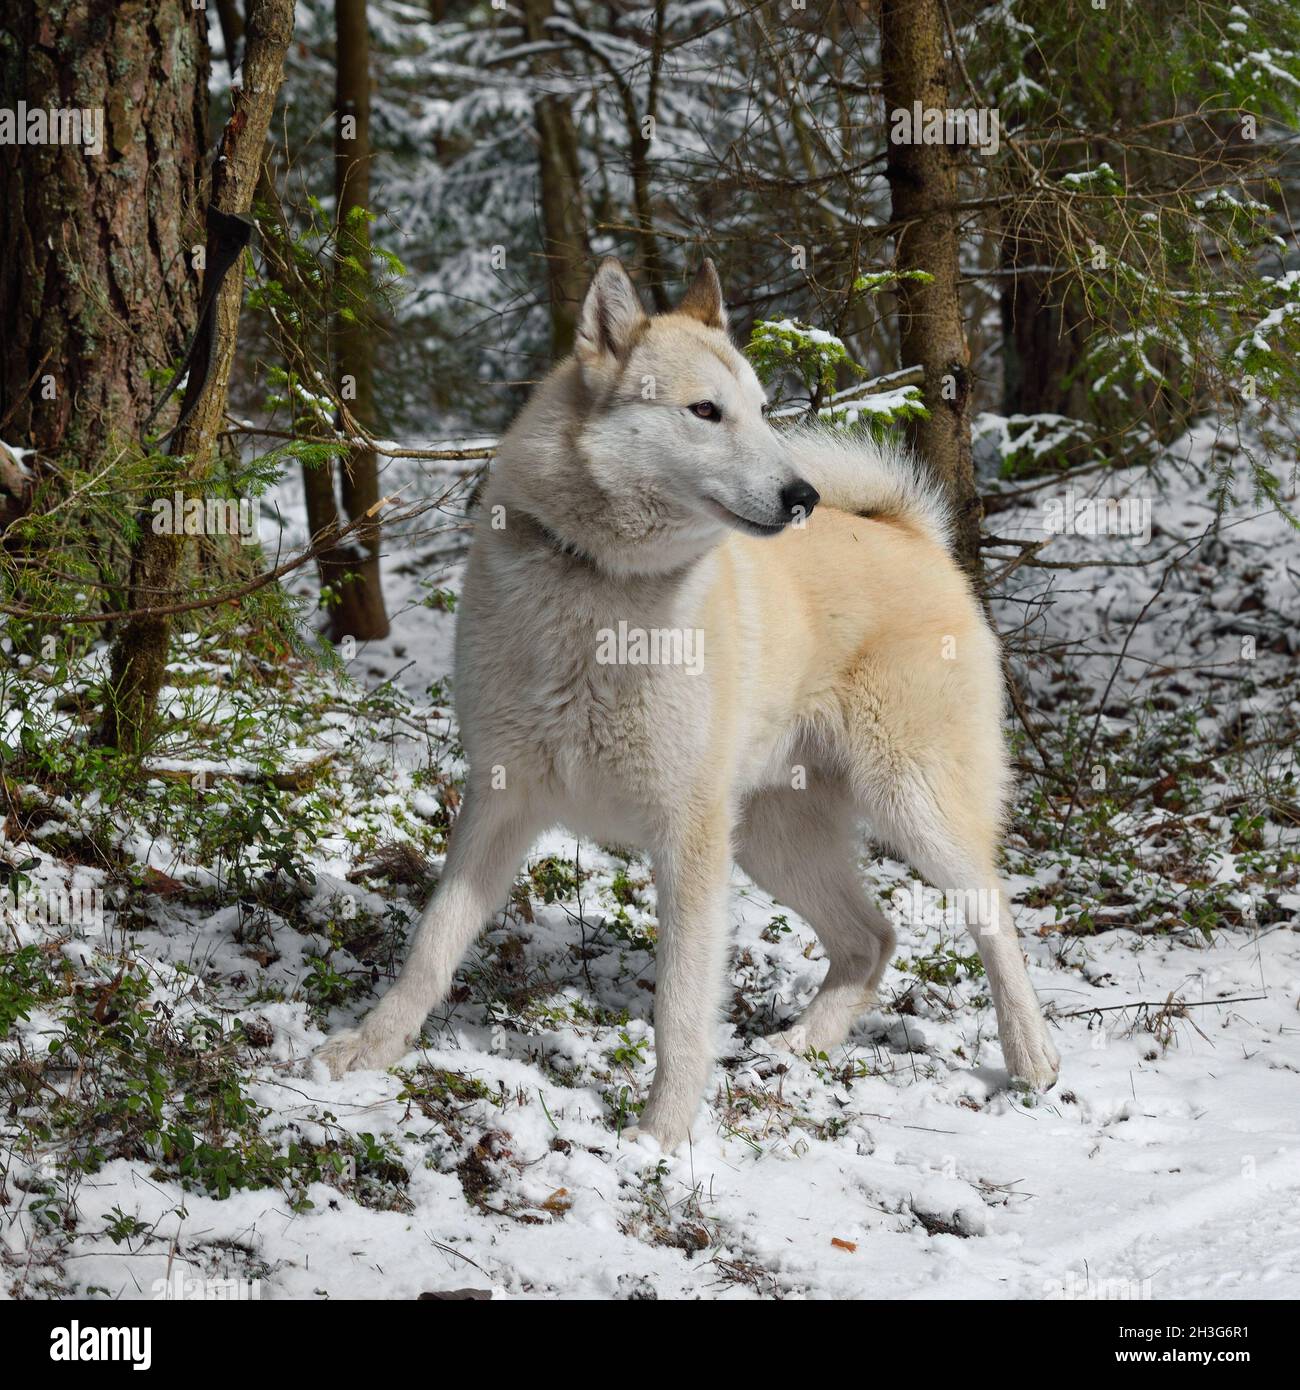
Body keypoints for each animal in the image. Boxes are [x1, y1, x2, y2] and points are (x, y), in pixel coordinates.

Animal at [319, 261, 1062, 1150]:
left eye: (762, 411)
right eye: (706, 411)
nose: (803, 495)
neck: (603, 585)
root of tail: (912, 537)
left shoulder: (690, 840)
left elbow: (679, 1004)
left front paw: (661, 1137)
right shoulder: (499, 804)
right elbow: (430, 946)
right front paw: (369, 1049)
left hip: (913, 807)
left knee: (994, 915)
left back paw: (1030, 1057)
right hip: (775, 839)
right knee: (870, 939)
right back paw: (801, 1046)